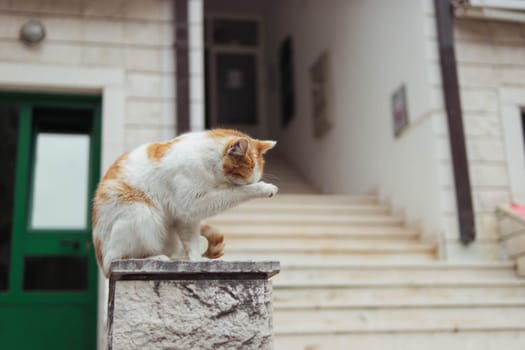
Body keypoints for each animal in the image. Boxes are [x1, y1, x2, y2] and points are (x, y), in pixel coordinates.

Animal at [92, 129, 278, 276]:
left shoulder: (186, 218)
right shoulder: (190, 203)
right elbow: (234, 193)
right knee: (119, 258)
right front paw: (264, 188)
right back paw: (156, 258)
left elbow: (192, 243)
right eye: (245, 179)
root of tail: (102, 264)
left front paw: (198, 262)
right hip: (141, 211)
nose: (251, 183)